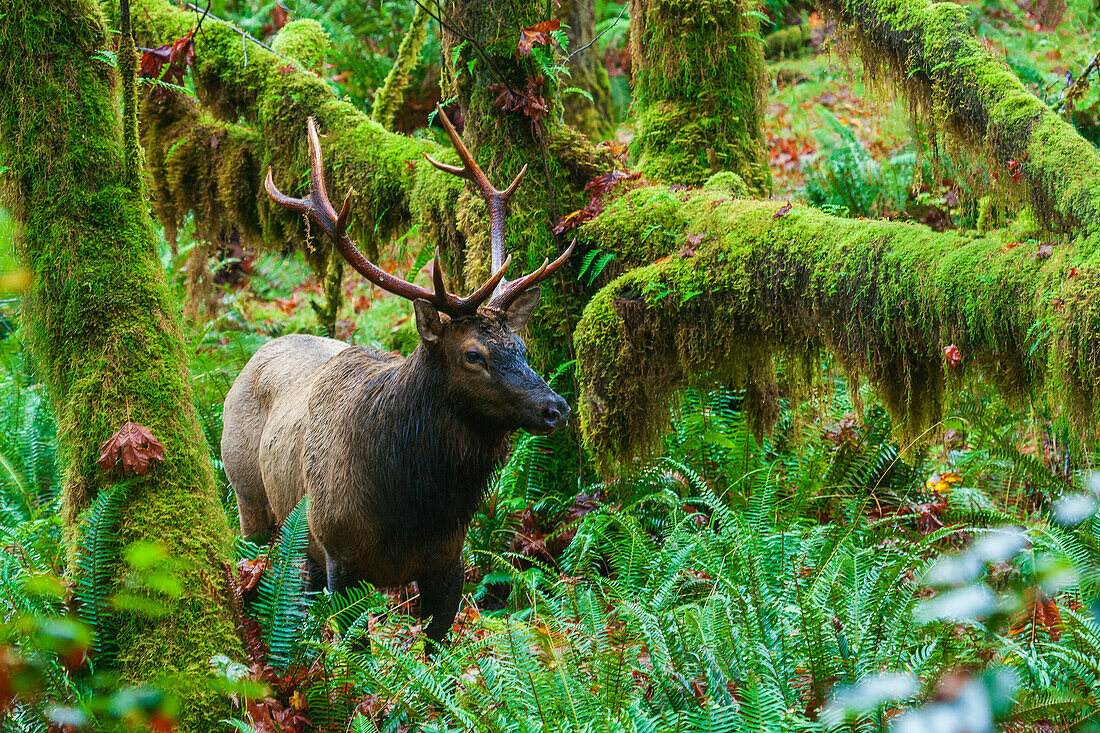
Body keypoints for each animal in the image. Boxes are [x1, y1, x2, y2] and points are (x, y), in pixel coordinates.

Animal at [218, 108, 572, 647]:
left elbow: (436, 647)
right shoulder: (339, 554)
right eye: (473, 355)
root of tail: (256, 353)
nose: (556, 407)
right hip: (249, 500)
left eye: (522, 347)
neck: (410, 508)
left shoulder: (449, 561)